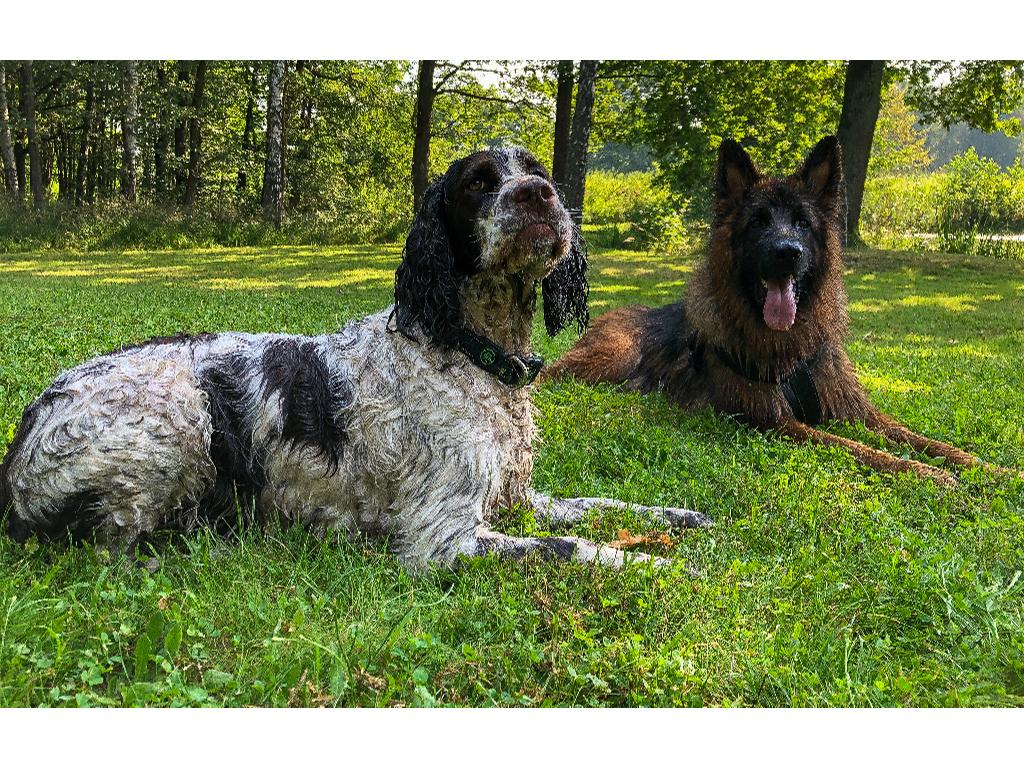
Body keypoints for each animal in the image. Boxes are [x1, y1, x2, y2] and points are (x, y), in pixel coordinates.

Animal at [0, 148, 708, 573]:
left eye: (536, 169)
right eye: (479, 183)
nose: (540, 194)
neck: (469, 352)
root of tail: (25, 437)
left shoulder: (513, 495)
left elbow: (598, 507)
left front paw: (679, 518)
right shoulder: (442, 539)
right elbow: (571, 548)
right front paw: (657, 564)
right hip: (177, 428)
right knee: (107, 548)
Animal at [544, 137, 1007, 487]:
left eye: (802, 223)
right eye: (759, 222)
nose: (788, 253)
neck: (788, 346)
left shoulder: (857, 412)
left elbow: (927, 441)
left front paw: (990, 469)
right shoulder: (776, 422)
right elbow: (859, 449)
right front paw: (924, 473)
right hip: (612, 355)